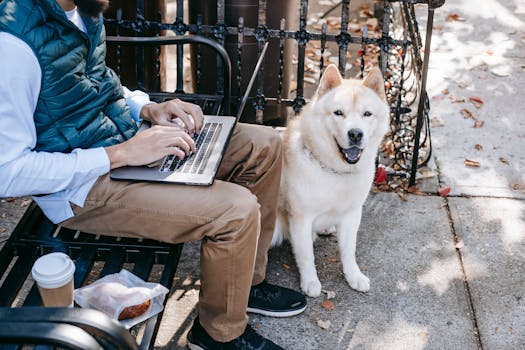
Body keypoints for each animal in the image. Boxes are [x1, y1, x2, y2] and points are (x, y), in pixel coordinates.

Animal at [272, 64, 386, 296]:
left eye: (367, 114)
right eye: (338, 113)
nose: (355, 134)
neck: (335, 170)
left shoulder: (352, 215)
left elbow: (349, 251)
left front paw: (353, 276)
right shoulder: (301, 218)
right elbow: (306, 256)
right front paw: (310, 281)